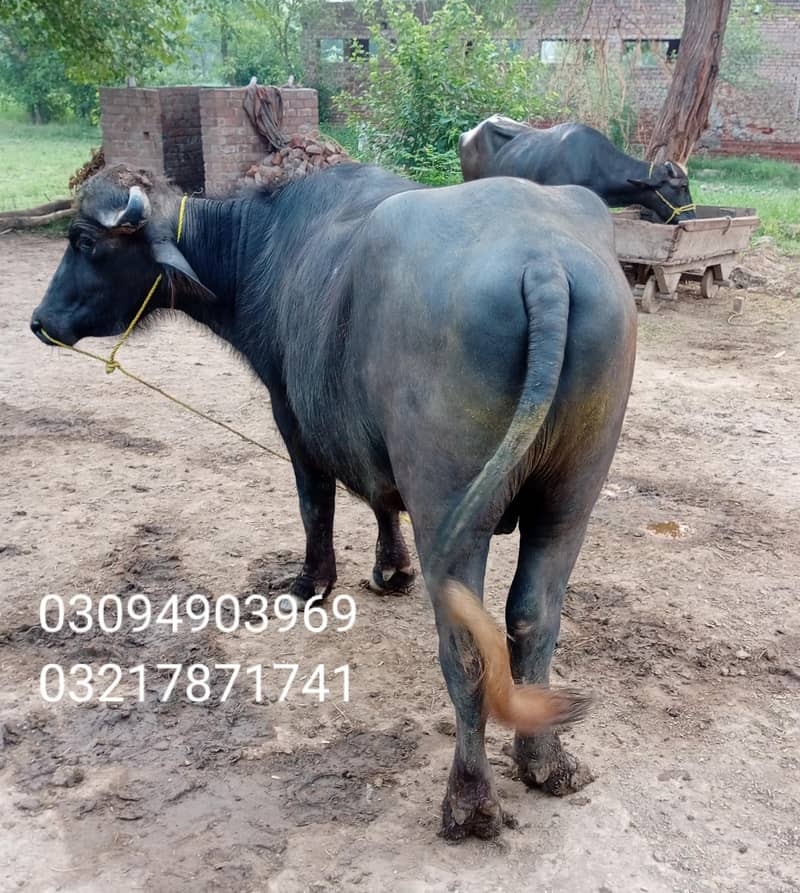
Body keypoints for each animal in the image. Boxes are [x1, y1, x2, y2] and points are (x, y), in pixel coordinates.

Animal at [31, 163, 636, 840]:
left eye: (85, 242)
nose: (39, 321)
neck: (260, 248)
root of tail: (544, 265)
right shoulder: (366, 439)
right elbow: (379, 496)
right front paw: (390, 570)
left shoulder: (292, 415)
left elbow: (316, 502)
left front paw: (310, 584)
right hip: (570, 499)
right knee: (534, 619)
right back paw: (545, 762)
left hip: (454, 511)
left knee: (465, 648)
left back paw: (469, 800)